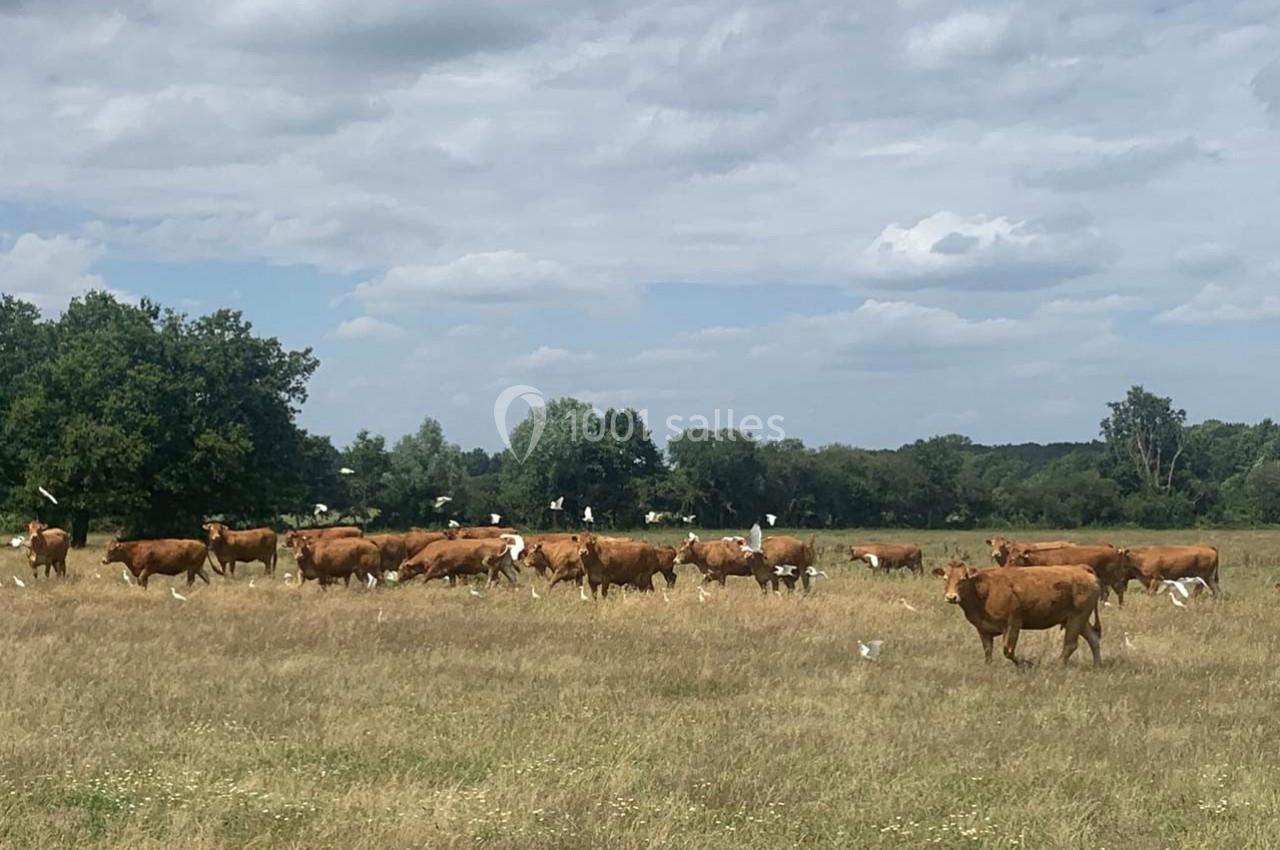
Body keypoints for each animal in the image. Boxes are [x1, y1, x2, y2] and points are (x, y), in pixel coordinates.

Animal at [933, 561, 1103, 667]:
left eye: (962, 579)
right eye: (945, 578)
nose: (951, 597)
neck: (984, 590)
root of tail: (1080, 568)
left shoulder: (1012, 623)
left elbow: (1008, 651)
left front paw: (1026, 664)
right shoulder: (982, 628)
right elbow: (988, 651)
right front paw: (988, 667)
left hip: (1077, 617)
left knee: (1070, 644)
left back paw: (1058, 665)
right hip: (1077, 619)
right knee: (1093, 638)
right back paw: (1097, 665)